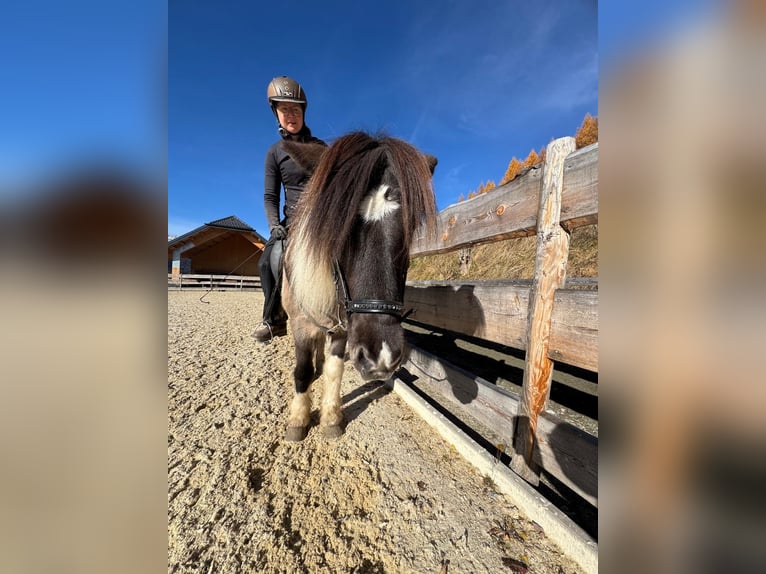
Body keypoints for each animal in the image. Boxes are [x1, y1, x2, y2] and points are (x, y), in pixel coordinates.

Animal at [278, 131, 437, 441]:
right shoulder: (300, 324)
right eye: (336, 229)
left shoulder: (343, 331)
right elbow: (301, 370)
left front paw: (330, 419)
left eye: (410, 229)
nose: (381, 357)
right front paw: (298, 420)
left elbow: (335, 370)